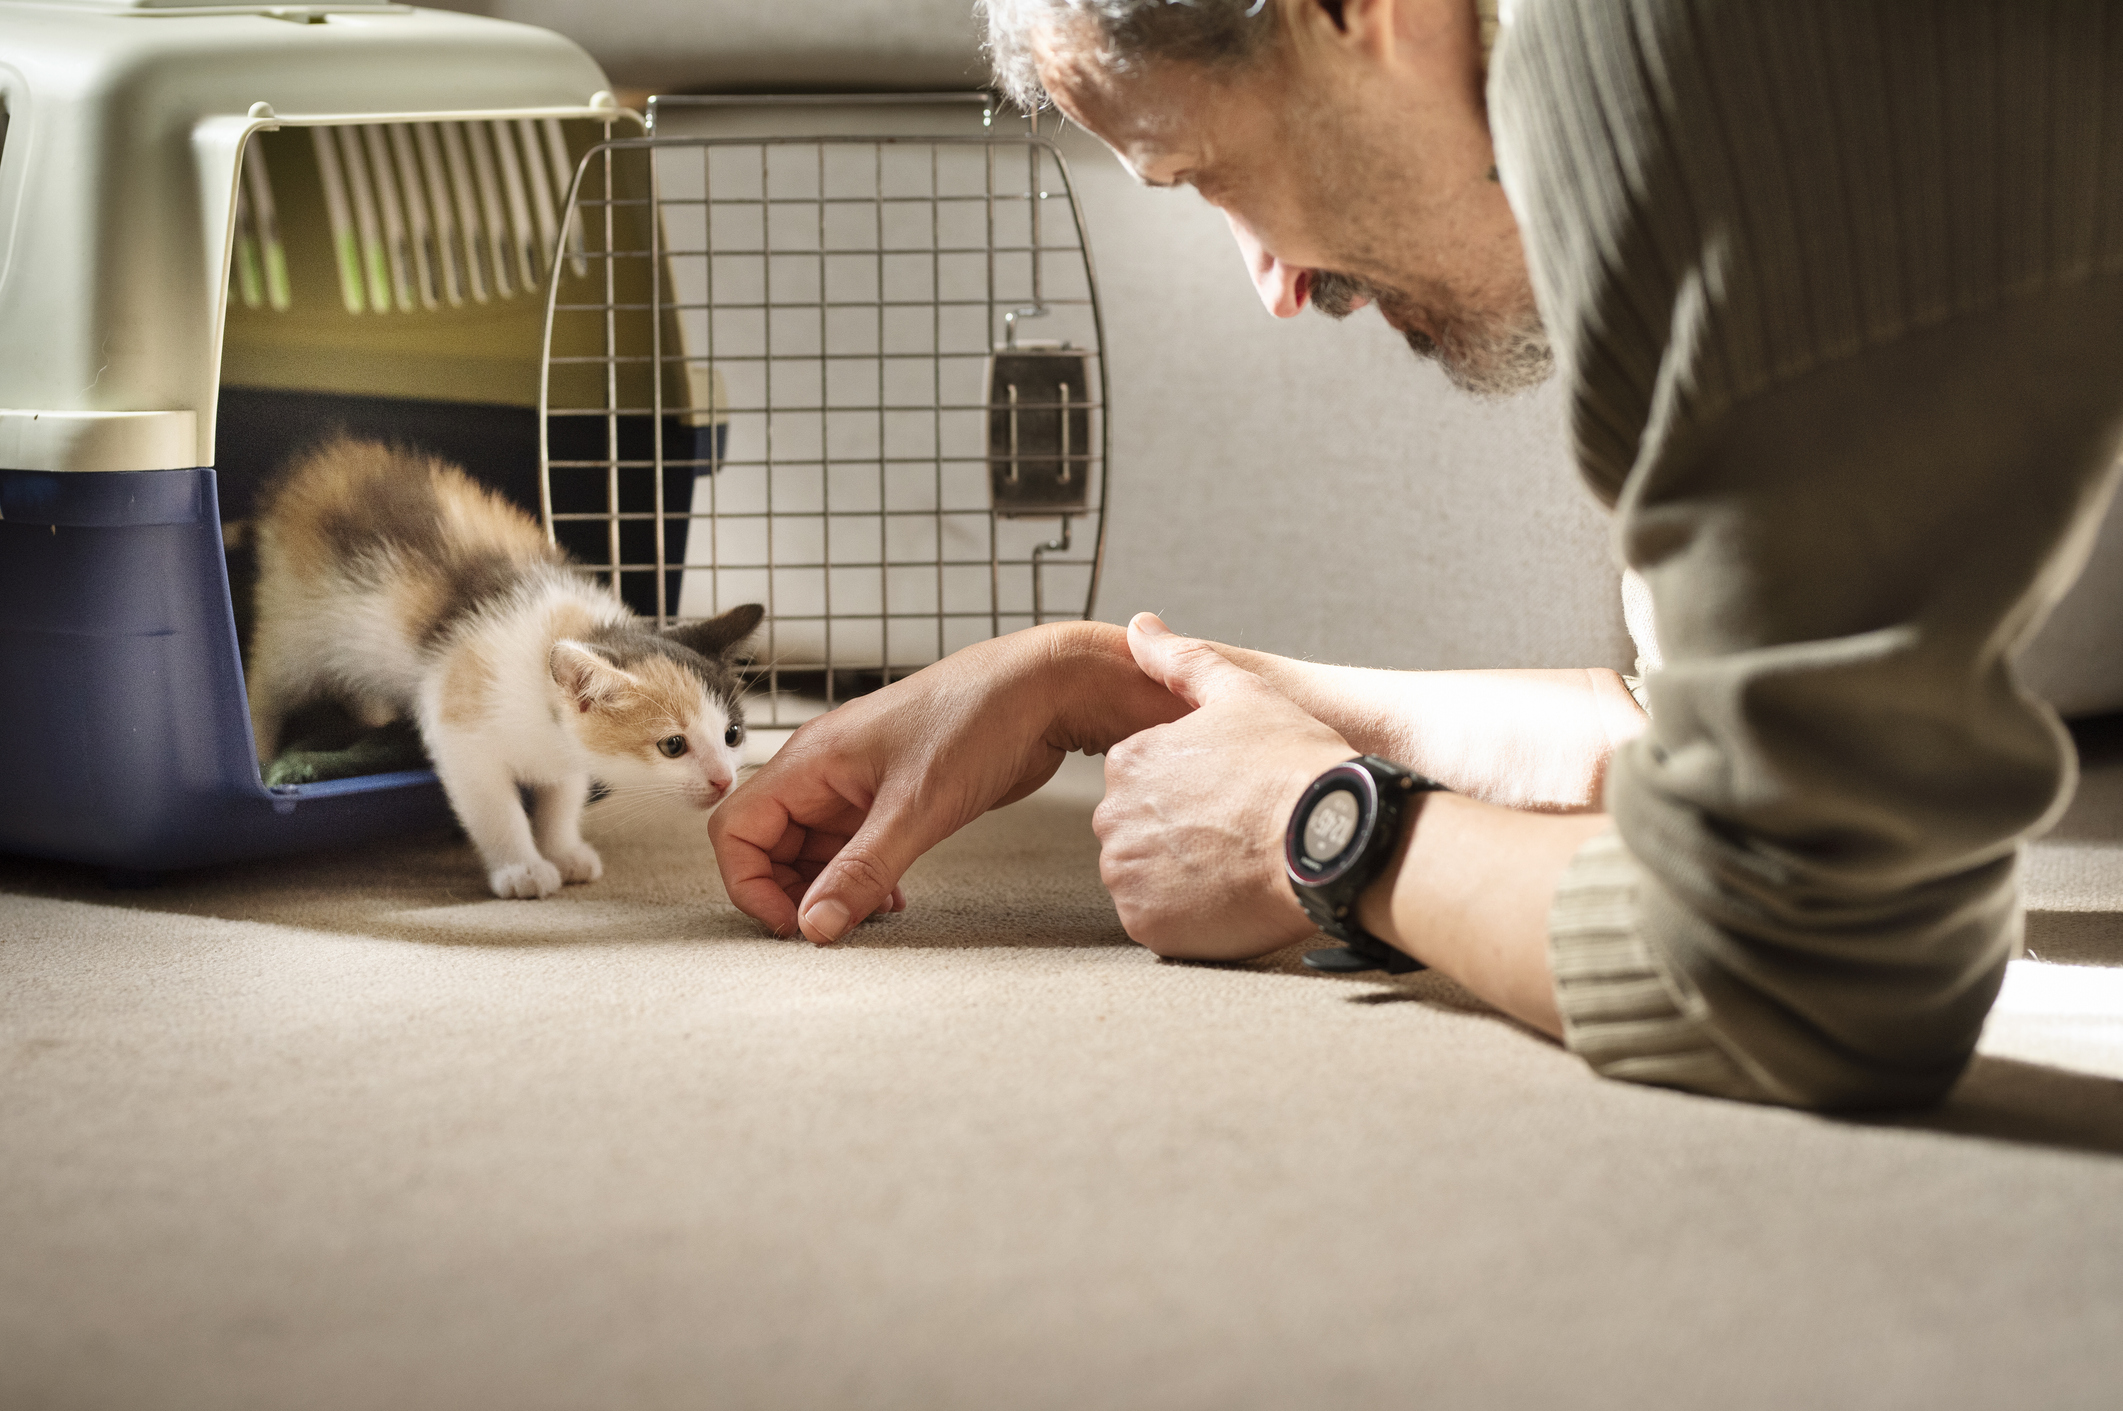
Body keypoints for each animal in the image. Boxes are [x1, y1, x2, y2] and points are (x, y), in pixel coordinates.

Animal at [248, 434, 764, 895]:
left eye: (733, 734)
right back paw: (258, 748)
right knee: (267, 683)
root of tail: (320, 463)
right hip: (293, 621)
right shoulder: (458, 722)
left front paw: (563, 849)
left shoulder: (564, 752)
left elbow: (561, 796)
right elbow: (495, 807)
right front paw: (522, 869)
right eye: (673, 745)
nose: (724, 780)